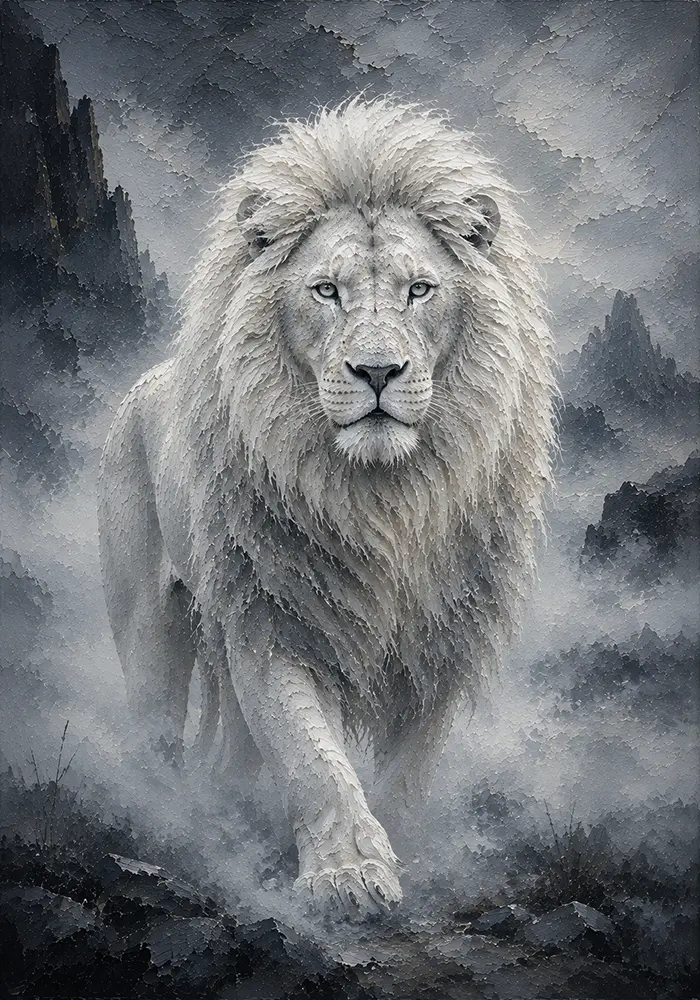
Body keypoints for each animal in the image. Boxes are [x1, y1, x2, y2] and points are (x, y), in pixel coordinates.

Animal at [98, 97, 555, 917]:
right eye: (326, 291)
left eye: (419, 290)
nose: (377, 371)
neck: (384, 496)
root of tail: (142, 387)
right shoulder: (271, 619)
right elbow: (314, 760)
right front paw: (347, 875)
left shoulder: (448, 635)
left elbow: (409, 768)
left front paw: (406, 858)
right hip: (150, 632)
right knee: (156, 730)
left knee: (230, 754)